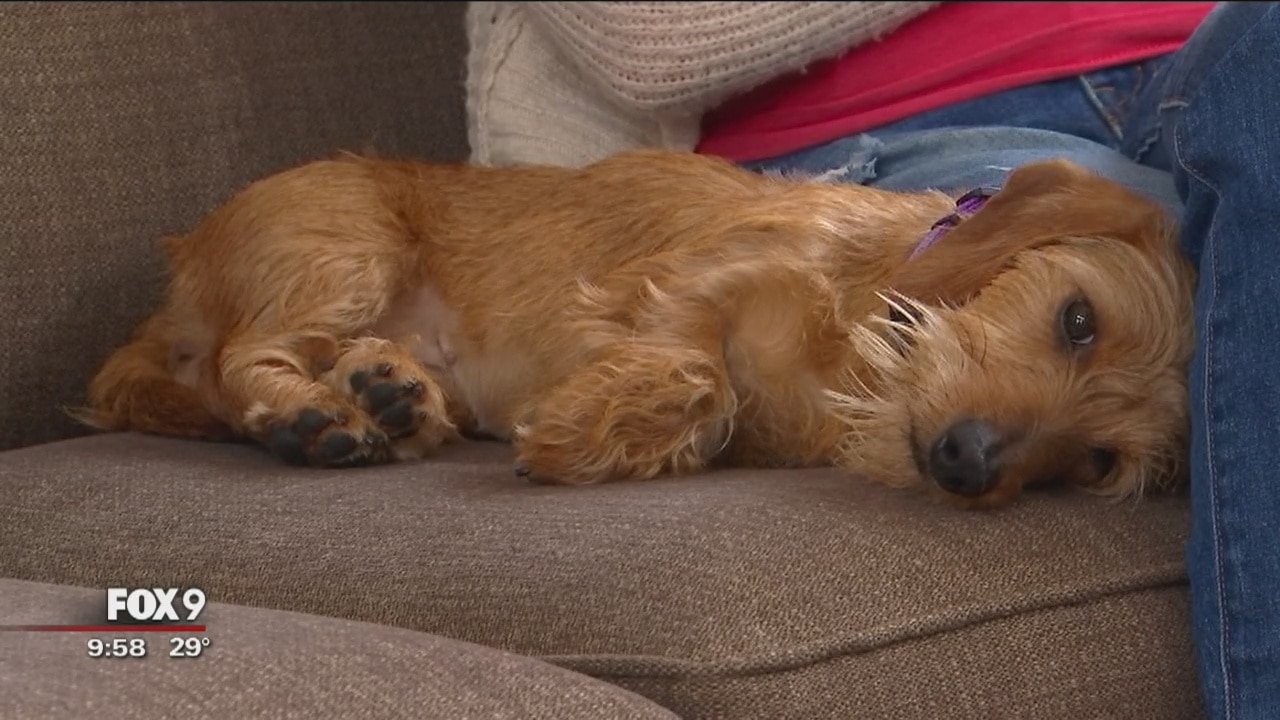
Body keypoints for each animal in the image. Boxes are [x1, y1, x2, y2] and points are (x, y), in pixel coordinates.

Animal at [78, 150, 1196, 509]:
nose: (969, 464)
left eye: (1097, 461)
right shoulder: (684, 283)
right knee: (237, 364)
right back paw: (310, 413)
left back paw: (385, 391)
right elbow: (698, 370)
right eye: (1078, 319)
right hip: (344, 246)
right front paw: (582, 425)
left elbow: (710, 407)